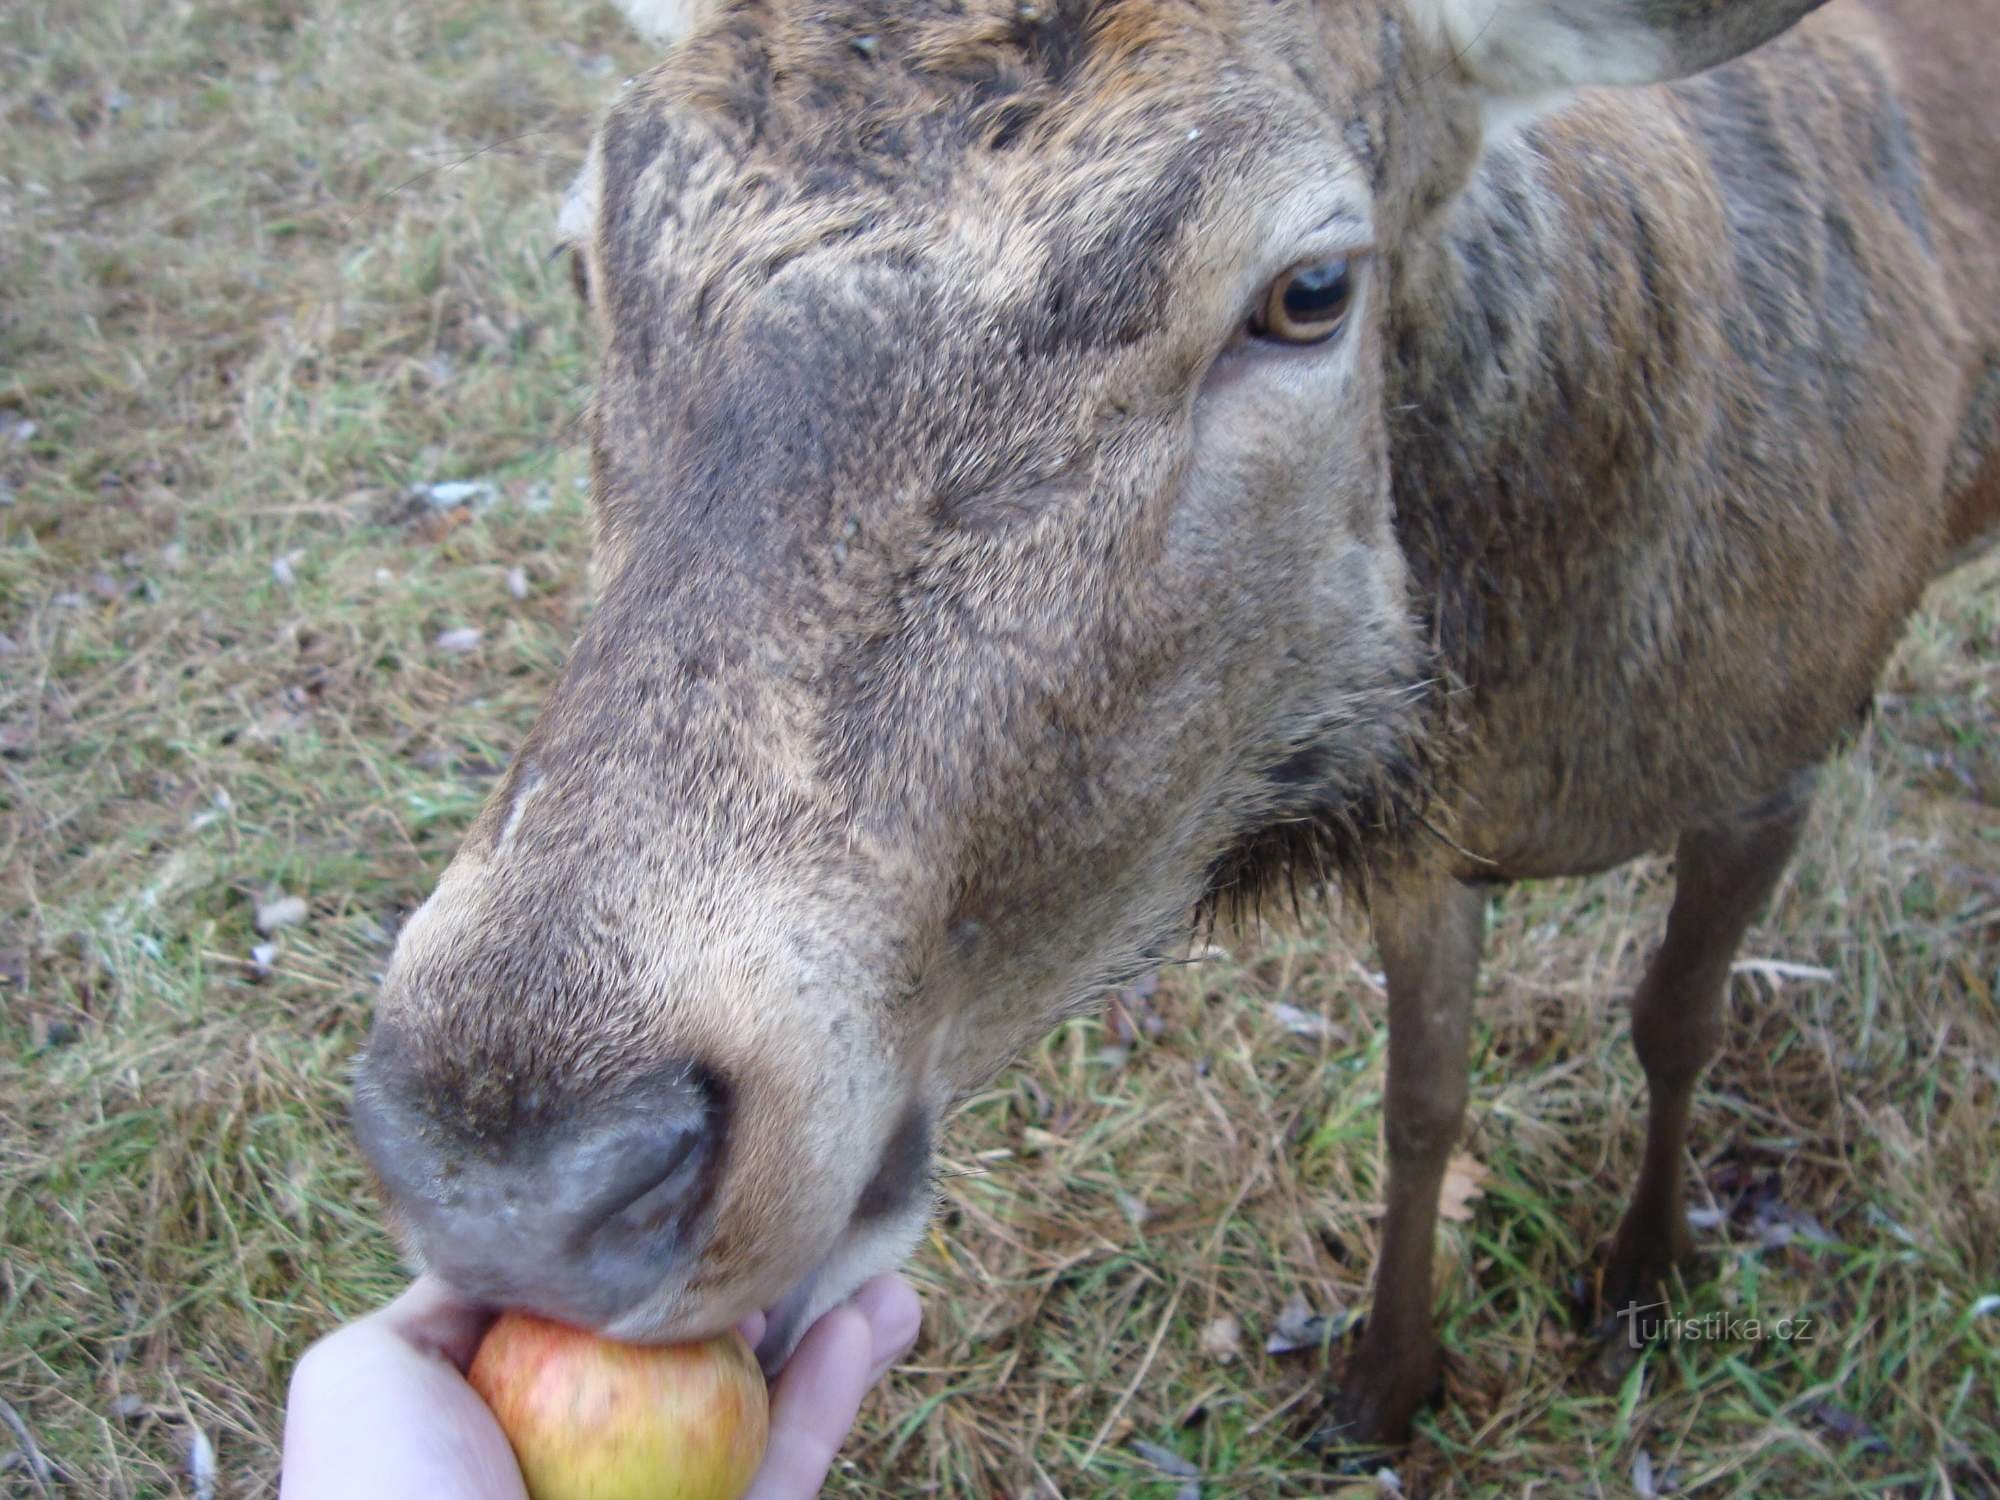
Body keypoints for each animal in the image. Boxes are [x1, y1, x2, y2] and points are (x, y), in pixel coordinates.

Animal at [348, 0, 2000, 1464]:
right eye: (585, 259)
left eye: (1313, 286)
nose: (523, 1171)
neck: (1543, 722)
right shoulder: (1426, 851)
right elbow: (1420, 1104)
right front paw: (1383, 1385)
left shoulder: (1790, 736)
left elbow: (1677, 1021)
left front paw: (1643, 1285)